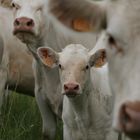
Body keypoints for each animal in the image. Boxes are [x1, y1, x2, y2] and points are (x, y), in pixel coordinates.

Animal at [46, 0, 140, 139]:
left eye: (87, 66)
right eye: (60, 65)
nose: (71, 87)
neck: (82, 114)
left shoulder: (109, 131)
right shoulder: (68, 130)